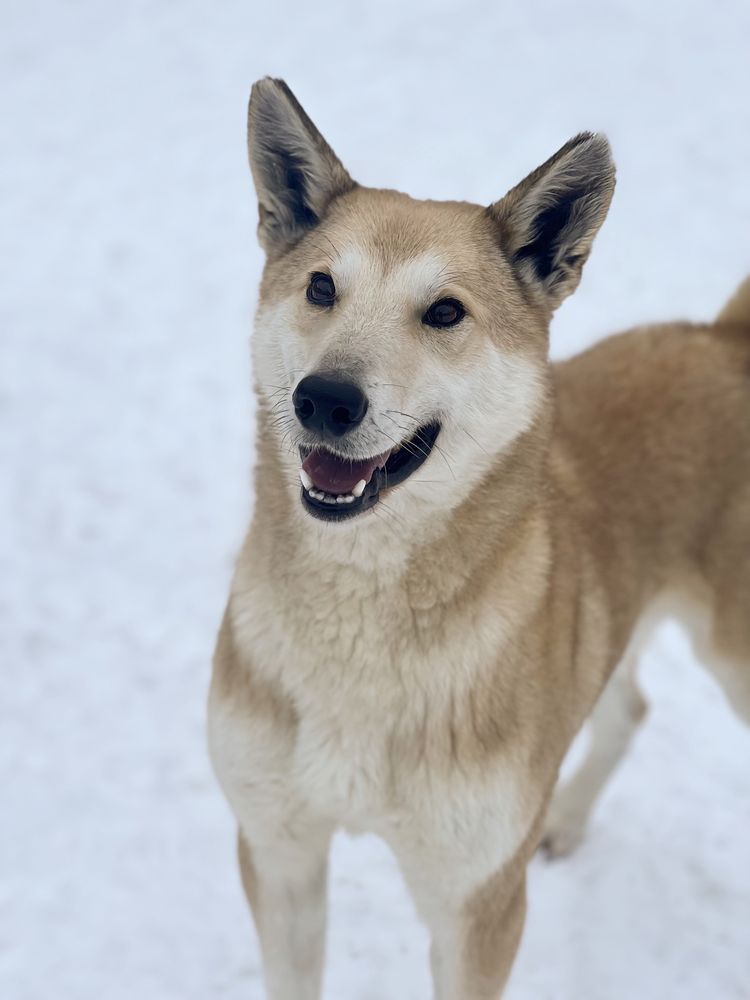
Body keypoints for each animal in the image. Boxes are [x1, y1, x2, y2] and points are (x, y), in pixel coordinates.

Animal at [207, 80, 750, 1000]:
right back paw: (565, 821)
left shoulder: (479, 903)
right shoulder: (278, 851)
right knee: (630, 707)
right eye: (320, 287)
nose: (325, 399)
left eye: (445, 312)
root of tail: (726, 344)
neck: (359, 631)